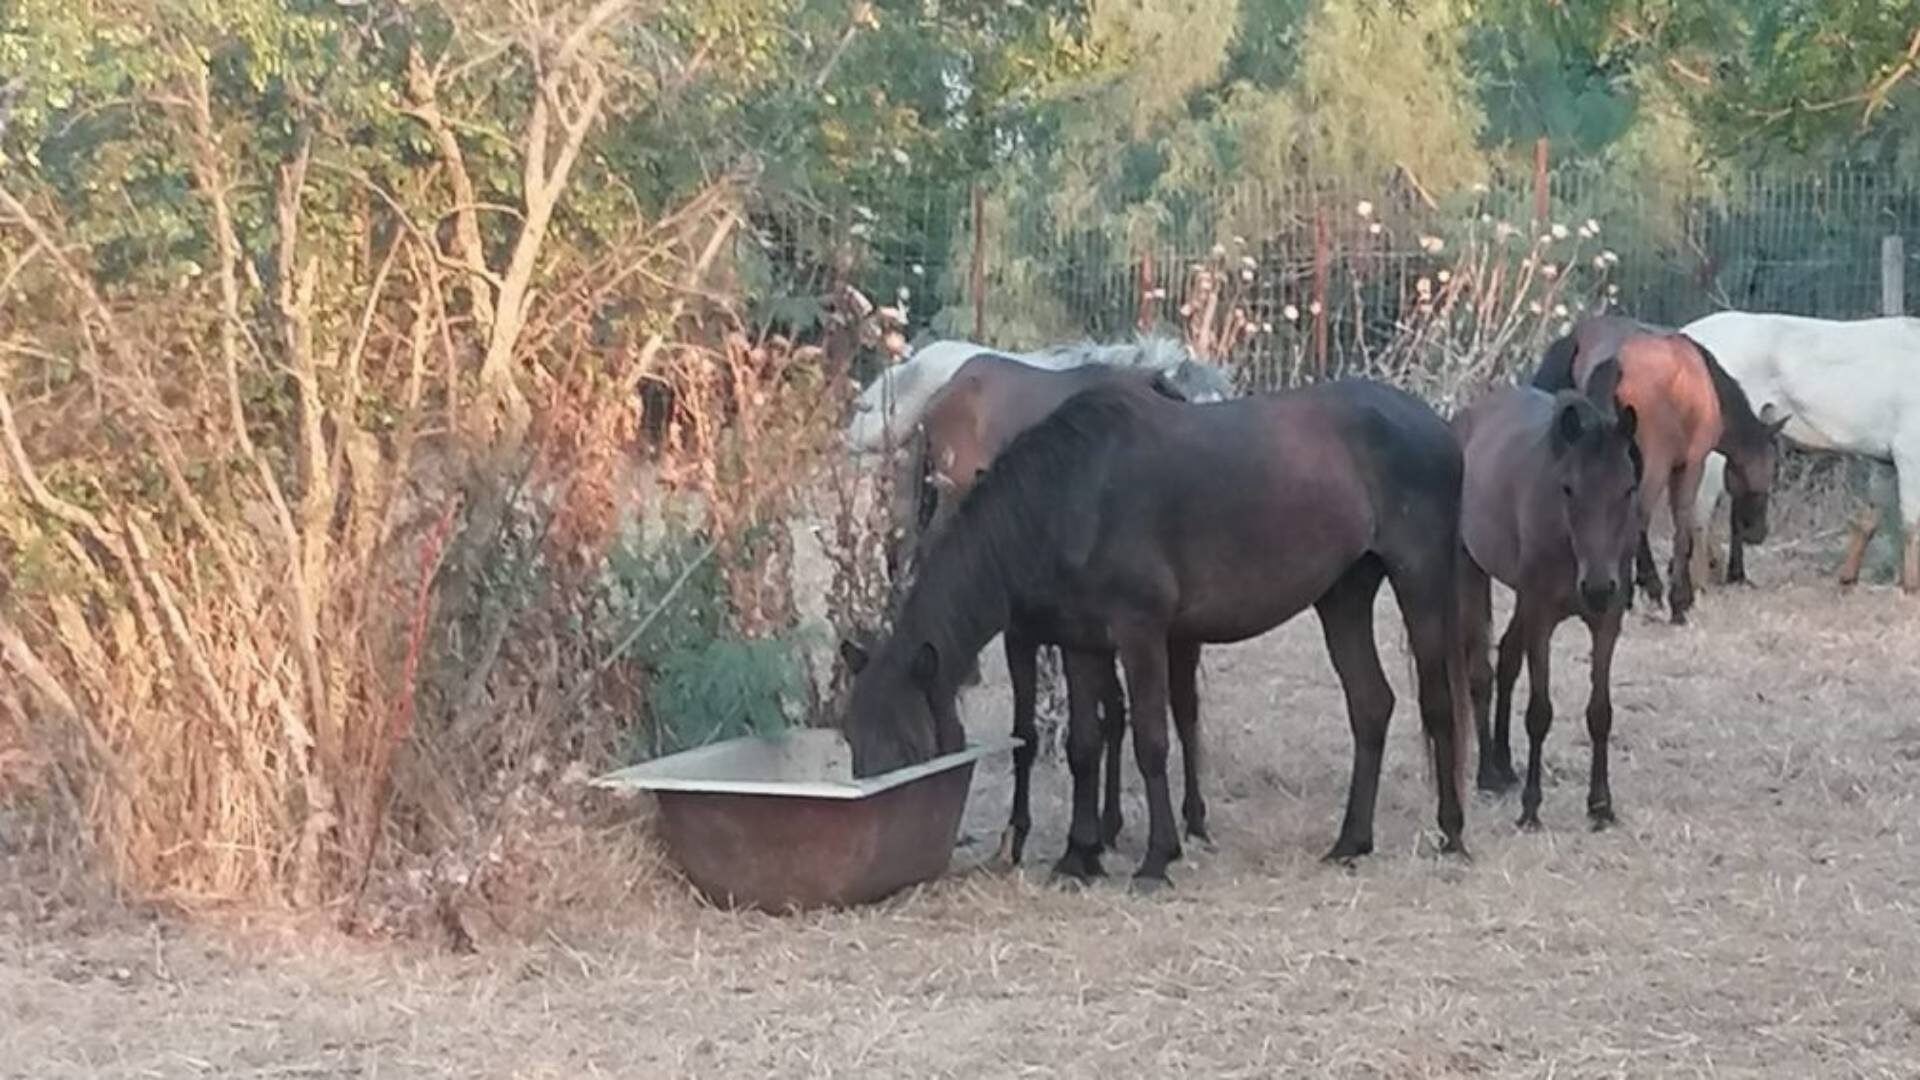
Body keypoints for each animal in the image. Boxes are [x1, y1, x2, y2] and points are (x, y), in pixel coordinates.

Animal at [837, 376, 1466, 883]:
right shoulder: (1080, 640)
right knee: (1371, 705)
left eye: (907, 743)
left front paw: (1156, 859)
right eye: (851, 737)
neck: (1074, 494)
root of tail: (1438, 425)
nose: (876, 816)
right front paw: (1079, 856)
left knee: (1437, 704)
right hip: (1344, 596)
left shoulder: (1140, 632)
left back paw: (1451, 834)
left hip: (1421, 582)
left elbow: (1151, 740)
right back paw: (1351, 842)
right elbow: (1084, 745)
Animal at [1459, 378, 1643, 822]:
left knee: (1507, 659)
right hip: (1473, 572)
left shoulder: (1607, 620)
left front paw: (1600, 805)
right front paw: (1531, 807)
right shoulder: (1541, 616)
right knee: (1481, 672)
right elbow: (1539, 712)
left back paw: (1505, 764)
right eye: (1569, 488)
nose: (1597, 587)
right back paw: (1488, 773)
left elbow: (1600, 712)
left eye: (1629, 488)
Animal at [1528, 315, 1781, 618]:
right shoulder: (1690, 463)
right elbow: (1682, 521)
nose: (1758, 532)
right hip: (1655, 463)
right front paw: (1679, 598)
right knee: (1639, 513)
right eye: (1768, 469)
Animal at [1681, 311, 1920, 591]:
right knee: (1700, 506)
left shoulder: (1884, 460)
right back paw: (1702, 580)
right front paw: (1911, 586)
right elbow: (1912, 522)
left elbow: (1869, 518)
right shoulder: (1909, 450)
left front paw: (1848, 578)